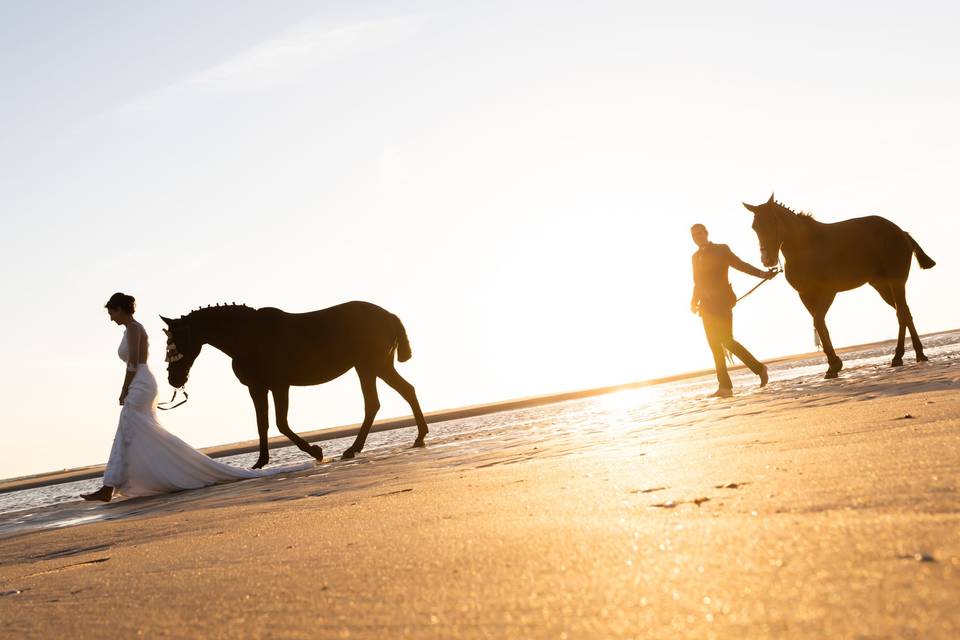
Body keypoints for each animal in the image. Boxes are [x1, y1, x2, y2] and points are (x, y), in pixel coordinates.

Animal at [160, 300, 428, 464]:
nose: (174, 379)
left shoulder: (279, 385)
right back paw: (419, 436)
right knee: (406, 391)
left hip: (368, 367)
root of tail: (388, 315)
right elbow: (263, 424)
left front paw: (316, 452)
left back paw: (354, 448)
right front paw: (260, 462)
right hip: (378, 367)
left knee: (374, 403)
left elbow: (281, 423)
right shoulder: (257, 388)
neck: (247, 337)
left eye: (175, 343)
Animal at [744, 192, 936, 378]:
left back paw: (900, 356)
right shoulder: (805, 294)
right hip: (881, 286)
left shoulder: (828, 292)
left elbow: (818, 322)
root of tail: (901, 232)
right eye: (755, 227)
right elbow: (821, 325)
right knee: (905, 312)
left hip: (896, 281)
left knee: (901, 313)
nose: (767, 260)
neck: (805, 247)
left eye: (773, 222)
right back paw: (917, 354)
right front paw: (833, 364)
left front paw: (834, 364)